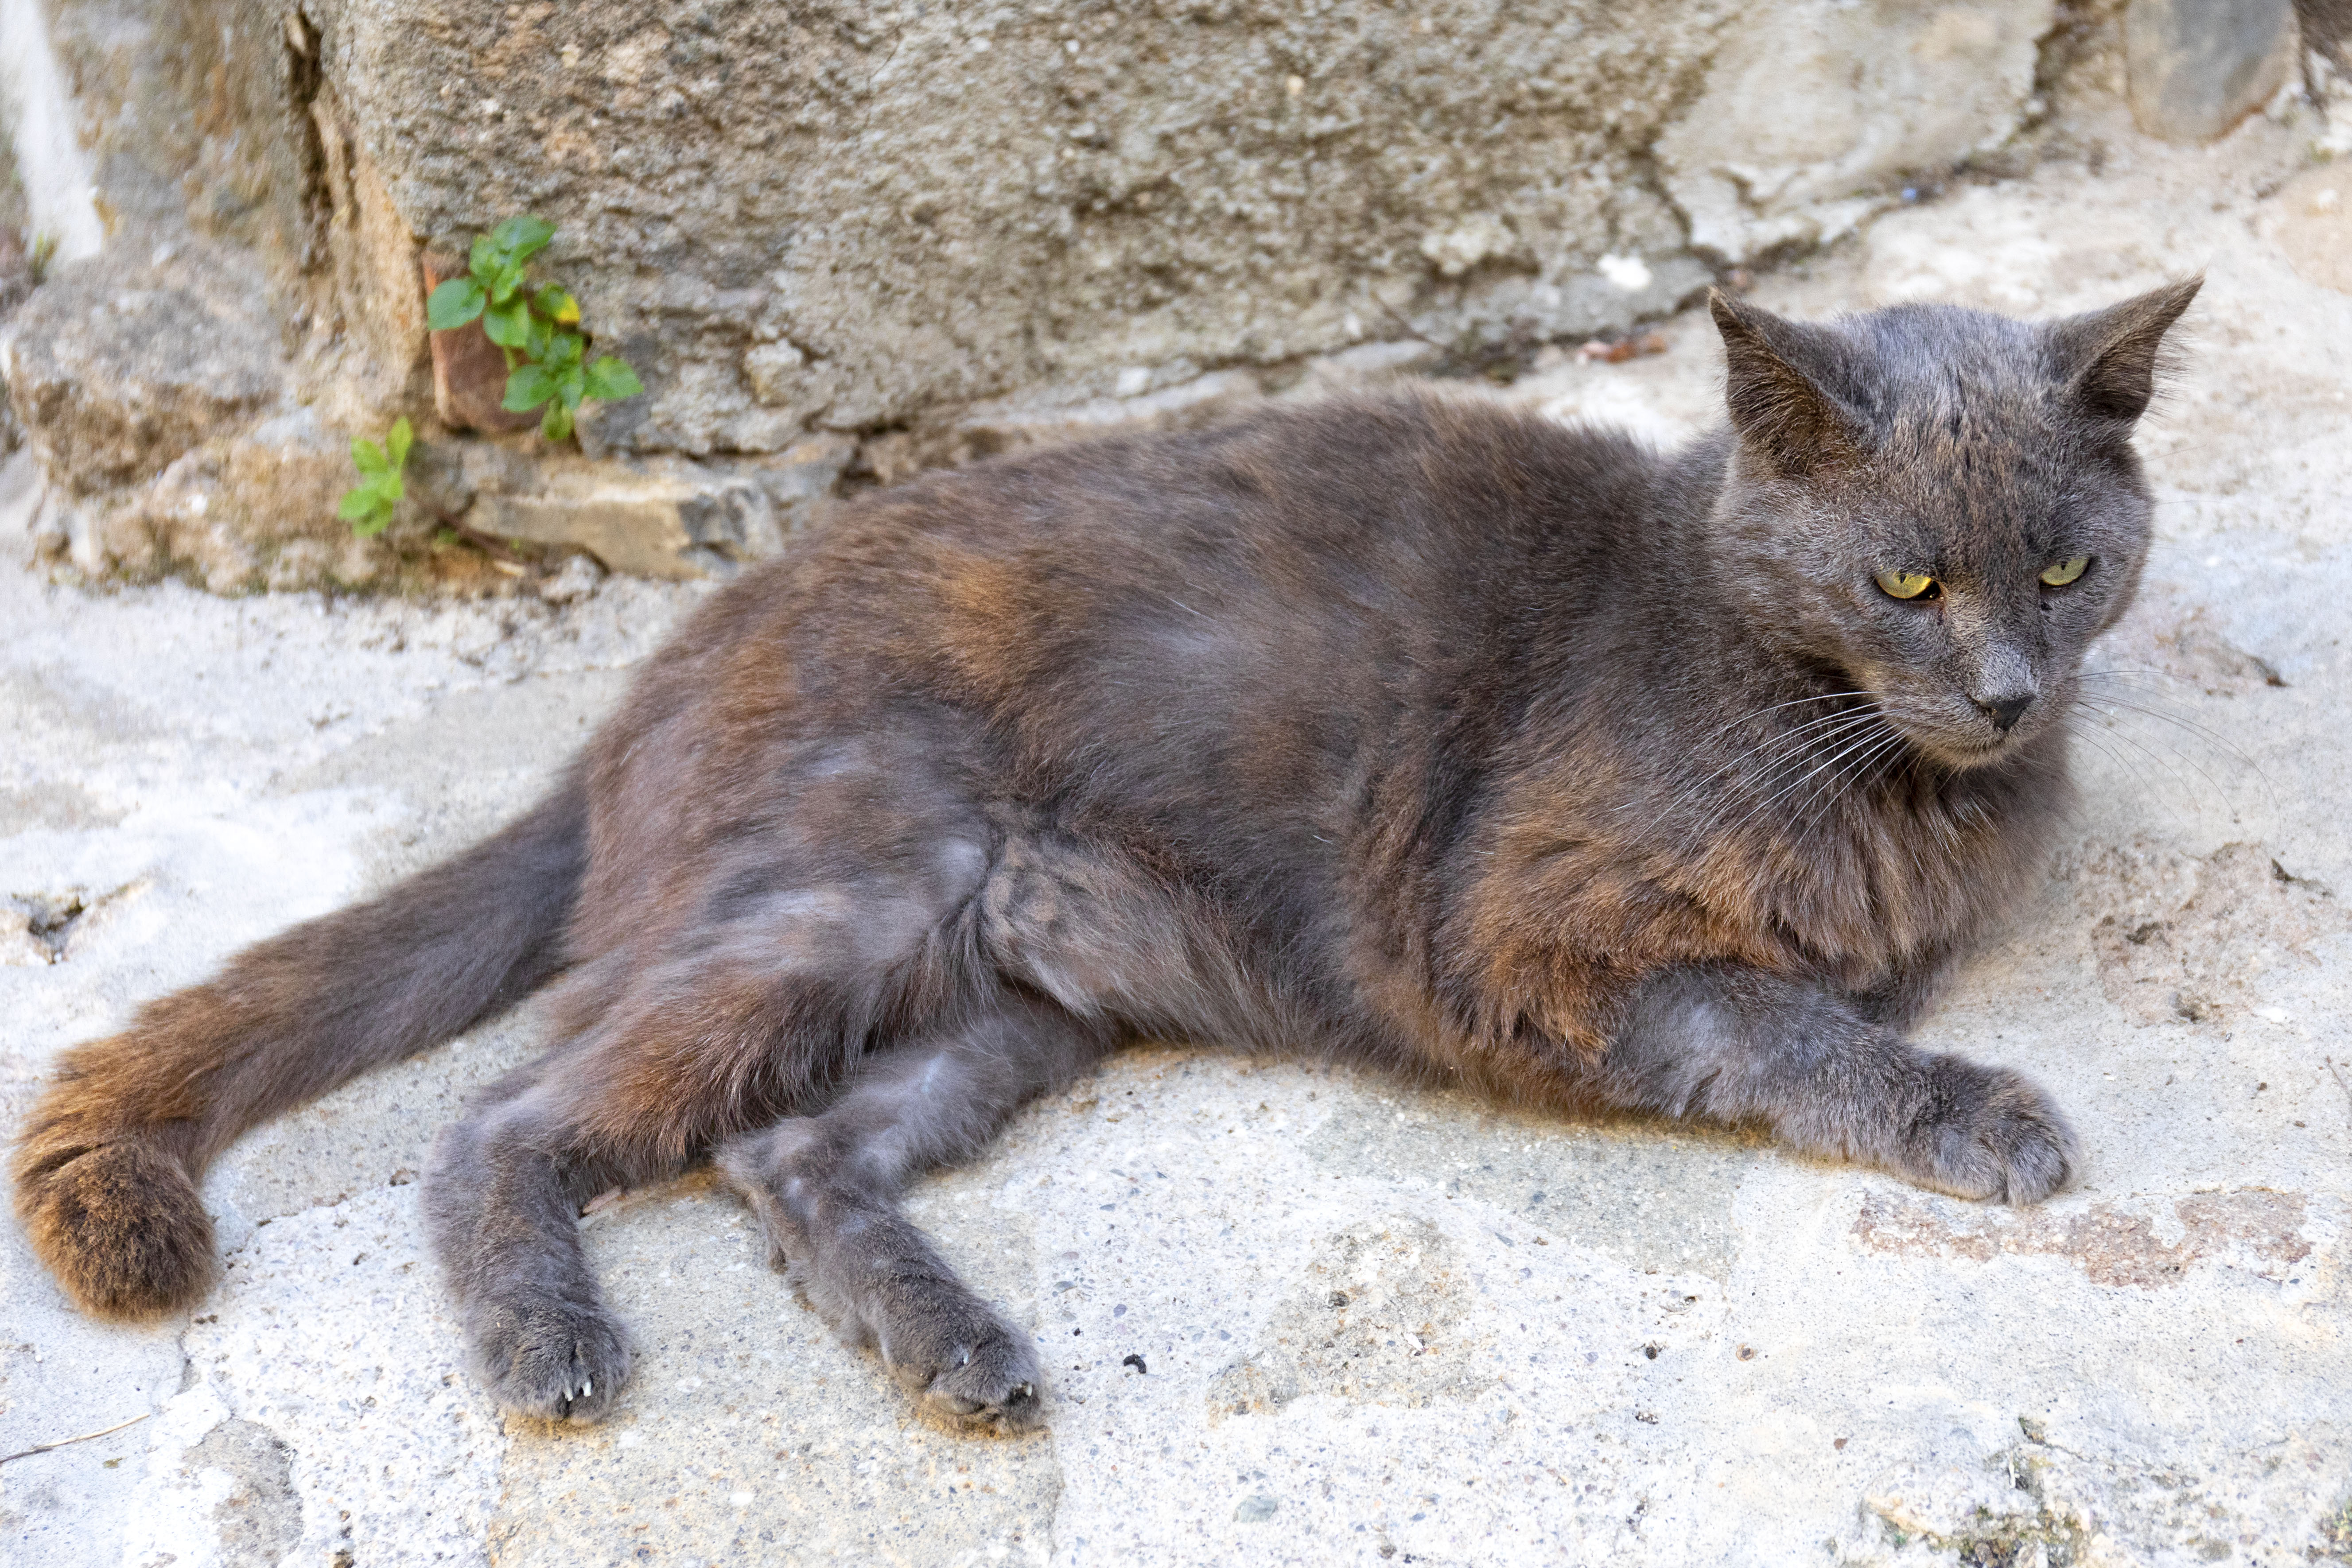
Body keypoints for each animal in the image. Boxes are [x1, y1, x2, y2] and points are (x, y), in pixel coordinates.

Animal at [18, 278, 2192, 1439]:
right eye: (1904, 582)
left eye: (2064, 569)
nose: (2005, 690)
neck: (1855, 743)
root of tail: (649, 683)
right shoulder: (1525, 937)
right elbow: (1785, 1023)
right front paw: (1973, 1108)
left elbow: (1809, 1002)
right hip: (863, 879)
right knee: (503, 1115)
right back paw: (554, 1339)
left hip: (1025, 992)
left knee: (779, 1150)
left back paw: (953, 1347)